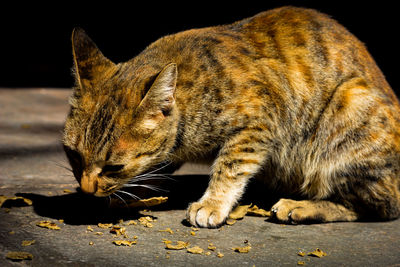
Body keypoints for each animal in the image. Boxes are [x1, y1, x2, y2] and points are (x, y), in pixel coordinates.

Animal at [63, 6, 400, 228]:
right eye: (74, 156)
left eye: (114, 167)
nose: (87, 188)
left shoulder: (261, 121)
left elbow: (230, 166)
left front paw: (212, 203)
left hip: (348, 109)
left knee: (381, 205)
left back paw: (302, 207)